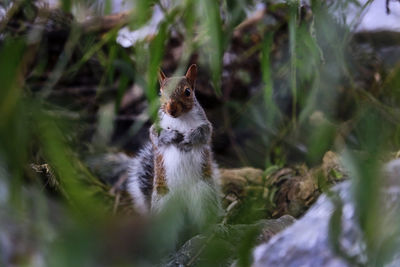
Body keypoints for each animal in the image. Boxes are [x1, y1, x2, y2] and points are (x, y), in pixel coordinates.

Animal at [127, 63, 220, 227]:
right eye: (160, 93)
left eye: (187, 92)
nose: (171, 109)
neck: (180, 119)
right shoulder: (155, 127)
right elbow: (155, 137)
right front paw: (171, 136)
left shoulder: (205, 124)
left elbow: (205, 133)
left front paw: (190, 136)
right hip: (164, 203)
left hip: (205, 195)